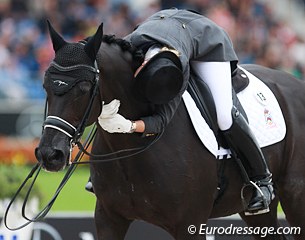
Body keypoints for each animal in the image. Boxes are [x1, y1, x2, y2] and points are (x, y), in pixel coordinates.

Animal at [35, 23, 304, 240]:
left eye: (83, 88)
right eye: (45, 85)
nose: (50, 155)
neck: (128, 149)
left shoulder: (189, 224)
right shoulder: (109, 218)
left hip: (294, 194)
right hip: (254, 210)